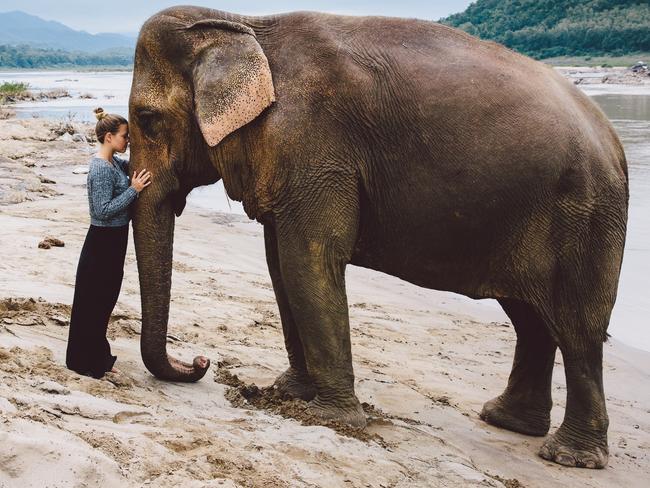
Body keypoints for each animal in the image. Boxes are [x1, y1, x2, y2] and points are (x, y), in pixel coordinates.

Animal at [128, 4, 628, 468]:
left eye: (148, 119)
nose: (200, 362)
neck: (244, 22)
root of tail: (613, 143)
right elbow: (280, 266)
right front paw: (289, 393)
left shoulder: (315, 144)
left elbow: (307, 260)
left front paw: (330, 419)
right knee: (531, 319)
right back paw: (507, 421)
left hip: (585, 218)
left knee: (577, 330)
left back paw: (569, 456)